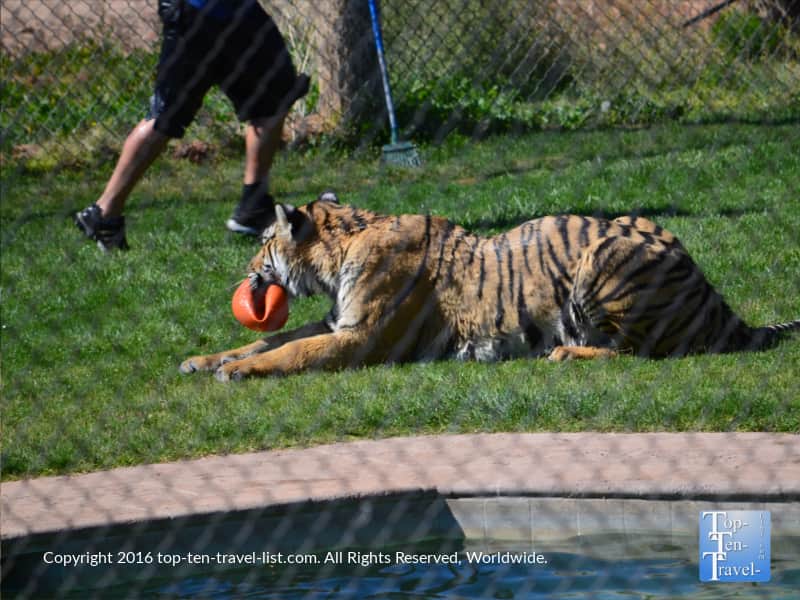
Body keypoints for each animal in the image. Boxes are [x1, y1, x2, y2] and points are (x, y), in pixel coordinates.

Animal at [180, 192, 800, 381]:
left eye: (264, 241)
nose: (246, 270)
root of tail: (716, 297)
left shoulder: (357, 337)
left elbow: (293, 350)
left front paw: (236, 371)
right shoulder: (337, 321)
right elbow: (269, 338)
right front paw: (203, 360)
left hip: (604, 257)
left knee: (638, 352)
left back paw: (565, 354)